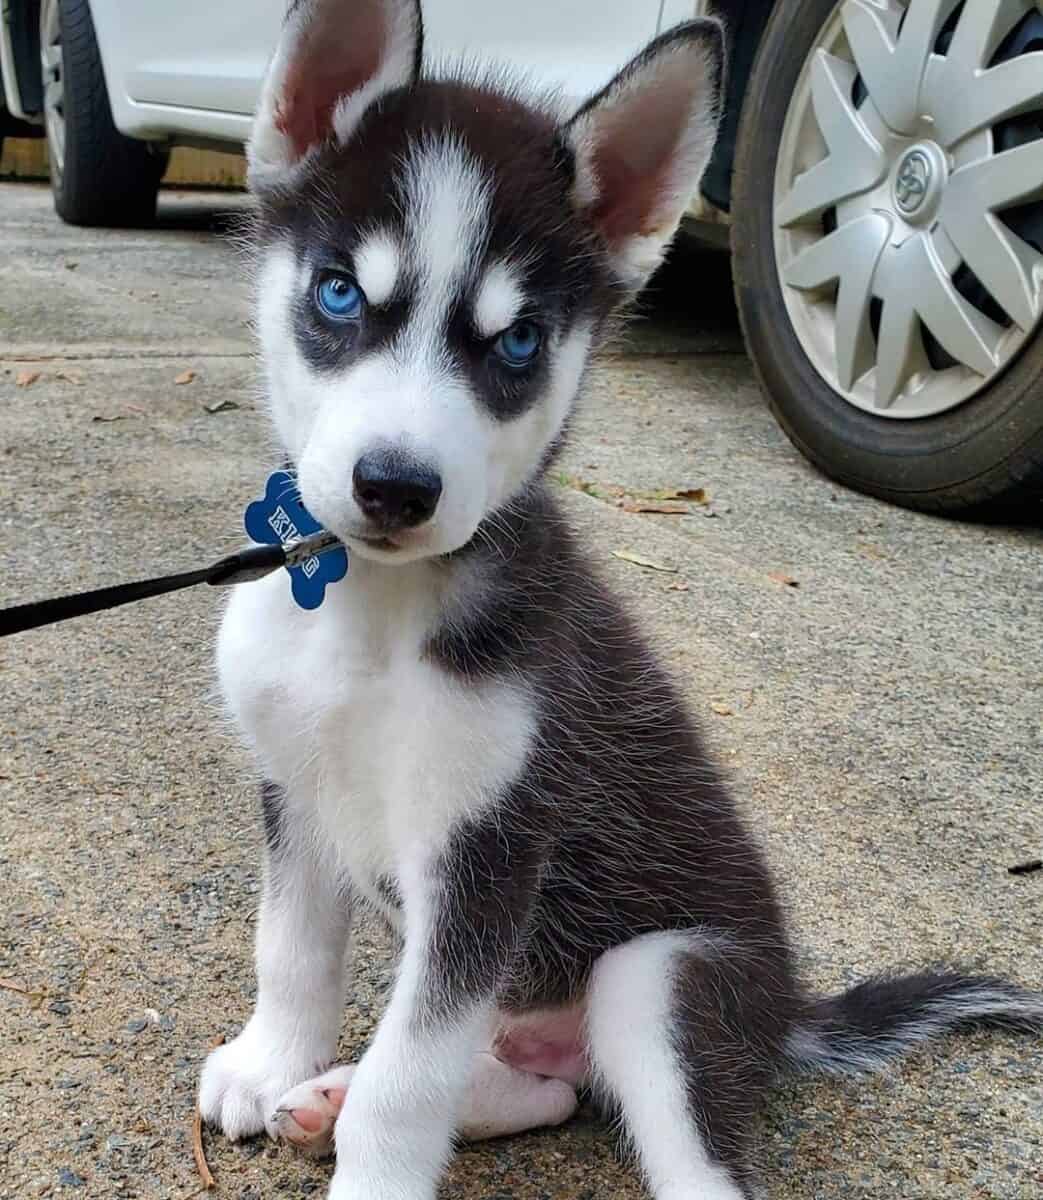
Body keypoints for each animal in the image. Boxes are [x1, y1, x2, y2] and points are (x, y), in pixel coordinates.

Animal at [199, 2, 1036, 1200]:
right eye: (339, 292)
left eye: (517, 343)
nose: (396, 487)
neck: (374, 614)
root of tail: (784, 1010)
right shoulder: (298, 785)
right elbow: (294, 948)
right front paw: (272, 1063)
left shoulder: (491, 854)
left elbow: (411, 1087)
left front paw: (365, 1156)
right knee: (540, 1088)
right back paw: (333, 1094)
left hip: (658, 976)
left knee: (674, 1155)